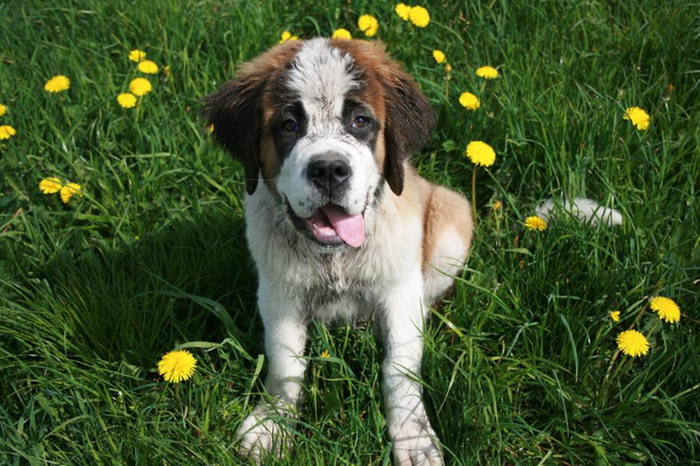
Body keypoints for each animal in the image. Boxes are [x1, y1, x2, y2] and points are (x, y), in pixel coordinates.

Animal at [205, 38, 474, 464]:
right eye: (288, 125)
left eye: (360, 122)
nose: (329, 169)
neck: (335, 258)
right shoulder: (279, 294)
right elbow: (285, 363)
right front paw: (273, 423)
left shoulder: (400, 292)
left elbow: (400, 369)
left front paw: (414, 438)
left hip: (451, 217)